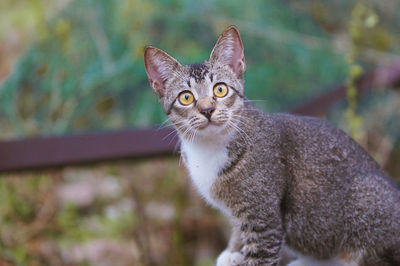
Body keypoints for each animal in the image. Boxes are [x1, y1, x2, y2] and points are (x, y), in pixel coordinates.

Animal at [144, 25, 400, 266]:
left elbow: (260, 256)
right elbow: (238, 230)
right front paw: (233, 251)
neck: (209, 148)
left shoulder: (263, 217)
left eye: (220, 89)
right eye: (186, 97)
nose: (207, 110)